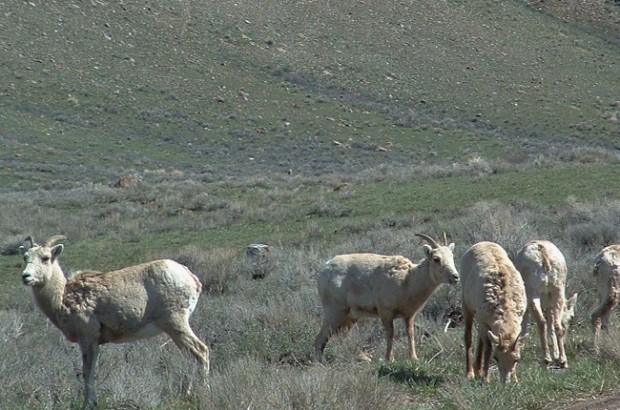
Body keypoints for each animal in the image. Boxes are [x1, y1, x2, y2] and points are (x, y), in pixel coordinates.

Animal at [18, 237, 211, 410]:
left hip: (175, 323)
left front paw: (88, 404)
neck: (62, 298)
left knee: (200, 351)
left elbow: (87, 372)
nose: (25, 276)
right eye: (25, 257)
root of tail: (191, 277)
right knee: (191, 357)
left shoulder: (87, 339)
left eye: (45, 258)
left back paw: (203, 392)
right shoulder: (94, 343)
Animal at [314, 232, 460, 364]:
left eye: (452, 256)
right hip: (335, 312)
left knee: (342, 335)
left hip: (350, 316)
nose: (455, 277)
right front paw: (389, 359)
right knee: (320, 337)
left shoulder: (409, 315)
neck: (408, 280)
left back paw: (363, 357)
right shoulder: (386, 312)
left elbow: (410, 333)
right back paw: (322, 363)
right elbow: (390, 334)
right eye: (436, 259)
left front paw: (414, 358)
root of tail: (324, 270)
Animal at [460, 242, 528, 382]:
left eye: (516, 359)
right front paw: (486, 379)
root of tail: (481, 243)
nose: (505, 382)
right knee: (469, 336)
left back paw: (478, 370)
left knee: (479, 338)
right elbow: (488, 349)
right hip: (466, 304)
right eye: (496, 358)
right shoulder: (483, 320)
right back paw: (470, 373)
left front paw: (515, 380)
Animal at [512, 240, 576, 368]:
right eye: (571, 316)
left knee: (542, 322)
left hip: (533, 294)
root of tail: (543, 253)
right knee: (557, 326)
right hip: (557, 291)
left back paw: (547, 359)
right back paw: (562, 361)